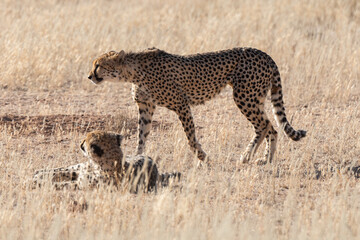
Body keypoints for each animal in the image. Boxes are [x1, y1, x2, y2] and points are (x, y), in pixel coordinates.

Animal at [32, 130, 180, 192]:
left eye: (85, 140)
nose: (80, 143)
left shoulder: (82, 184)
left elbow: (62, 184)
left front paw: (40, 183)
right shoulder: (81, 174)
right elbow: (61, 173)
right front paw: (38, 178)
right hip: (79, 168)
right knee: (64, 169)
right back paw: (39, 172)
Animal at [88, 48, 306, 165]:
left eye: (98, 65)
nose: (89, 76)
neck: (133, 71)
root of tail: (264, 54)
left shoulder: (181, 104)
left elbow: (190, 137)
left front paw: (203, 157)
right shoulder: (146, 107)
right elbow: (142, 135)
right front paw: (139, 158)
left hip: (245, 97)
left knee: (263, 126)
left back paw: (246, 156)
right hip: (255, 98)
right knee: (272, 128)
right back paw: (266, 159)